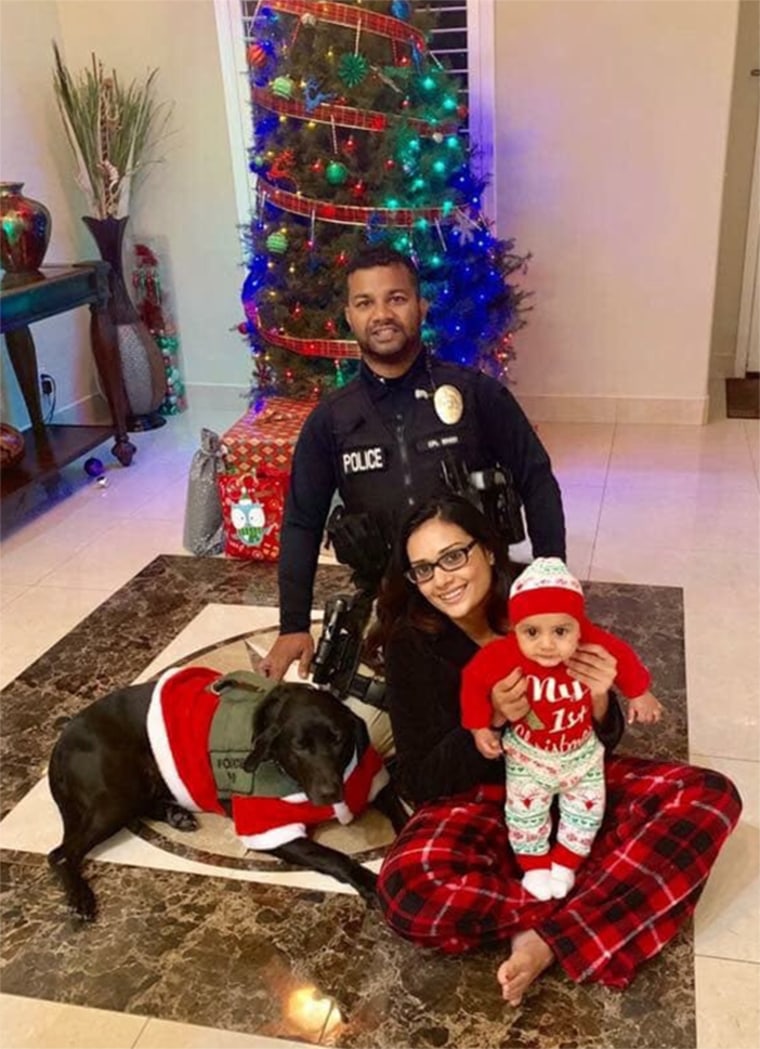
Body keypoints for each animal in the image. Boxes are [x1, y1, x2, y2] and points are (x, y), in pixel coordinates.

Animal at [48, 679, 409, 918]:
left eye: (338, 739)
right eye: (299, 746)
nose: (330, 793)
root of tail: (61, 741)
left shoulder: (372, 783)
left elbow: (403, 816)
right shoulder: (269, 830)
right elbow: (336, 857)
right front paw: (370, 883)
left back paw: (176, 815)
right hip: (115, 798)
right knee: (59, 854)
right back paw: (81, 897)